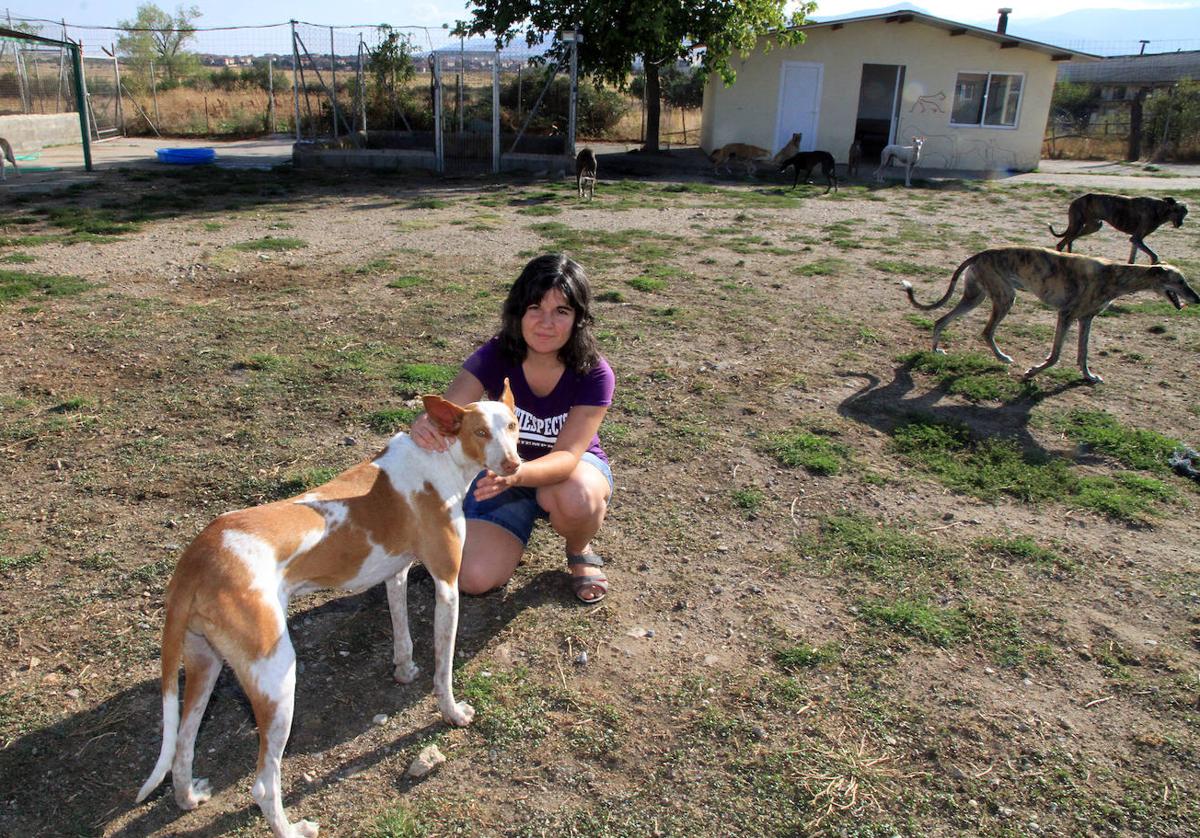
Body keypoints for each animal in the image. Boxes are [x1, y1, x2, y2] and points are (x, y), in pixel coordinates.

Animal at [137, 384, 520, 835]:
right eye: (480, 432)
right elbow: (443, 669)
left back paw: (187, 796)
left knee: (182, 744)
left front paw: (404, 669)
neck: (438, 459)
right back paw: (292, 828)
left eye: (512, 426)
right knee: (263, 786)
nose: (514, 464)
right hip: (277, 680)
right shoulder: (446, 586)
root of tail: (197, 558)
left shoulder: (396, 573)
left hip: (204, 664)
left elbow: (402, 630)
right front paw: (452, 712)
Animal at [902, 244, 1200, 381]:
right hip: (1004, 297)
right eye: (1180, 281)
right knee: (986, 331)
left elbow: (1083, 353)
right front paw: (1032, 372)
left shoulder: (1086, 318)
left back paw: (936, 350)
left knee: (941, 319)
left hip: (976, 296)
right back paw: (1002, 357)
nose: (1197, 298)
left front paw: (1088, 377)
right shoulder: (1066, 315)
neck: (1116, 274)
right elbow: (1056, 355)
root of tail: (980, 253)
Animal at [1046, 193, 1185, 264]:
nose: (1180, 223)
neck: (1160, 208)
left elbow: (1132, 258)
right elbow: (1154, 256)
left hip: (1093, 226)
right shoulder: (1137, 238)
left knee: (1069, 239)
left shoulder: (1136, 240)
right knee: (1061, 243)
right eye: (1176, 210)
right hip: (1079, 226)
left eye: (1185, 212)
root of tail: (1075, 200)